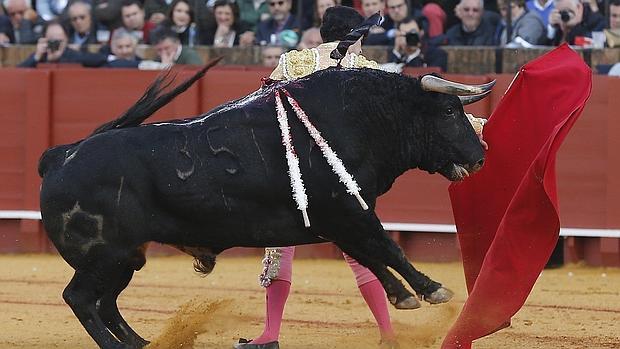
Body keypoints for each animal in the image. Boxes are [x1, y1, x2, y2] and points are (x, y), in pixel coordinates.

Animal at [40, 63, 490, 348]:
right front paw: (432, 290)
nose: (480, 156)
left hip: (126, 257)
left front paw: (403, 296)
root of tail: (59, 156)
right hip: (105, 254)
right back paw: (122, 346)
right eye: (449, 111)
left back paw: (142, 343)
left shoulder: (340, 221)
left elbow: (372, 258)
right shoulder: (348, 212)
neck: (360, 120)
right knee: (81, 299)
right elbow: (388, 248)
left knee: (106, 302)